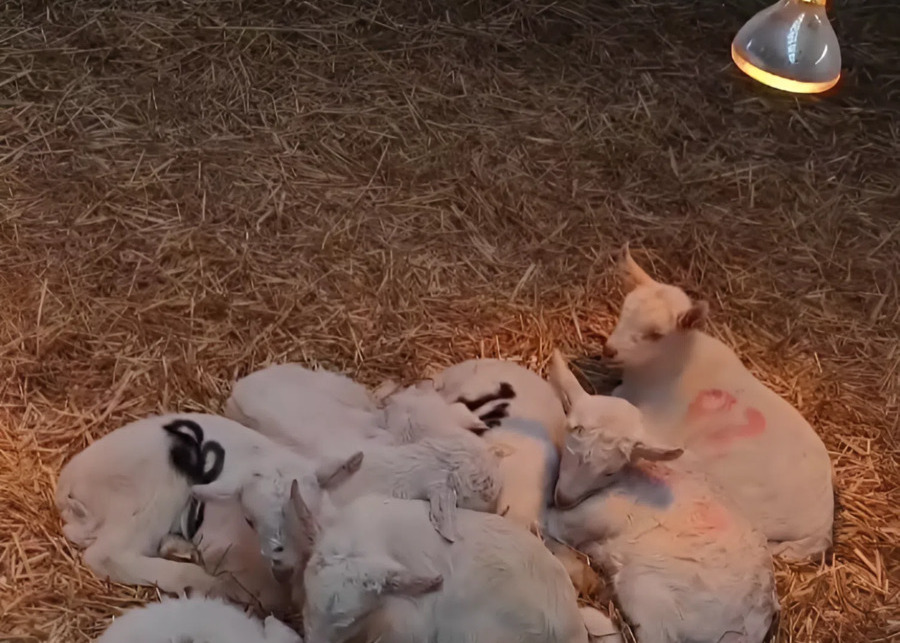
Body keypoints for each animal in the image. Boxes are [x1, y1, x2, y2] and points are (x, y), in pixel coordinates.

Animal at [545, 350, 779, 643]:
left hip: (648, 590)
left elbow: (548, 521)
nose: (563, 498)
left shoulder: (593, 516)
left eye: (611, 471)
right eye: (568, 442)